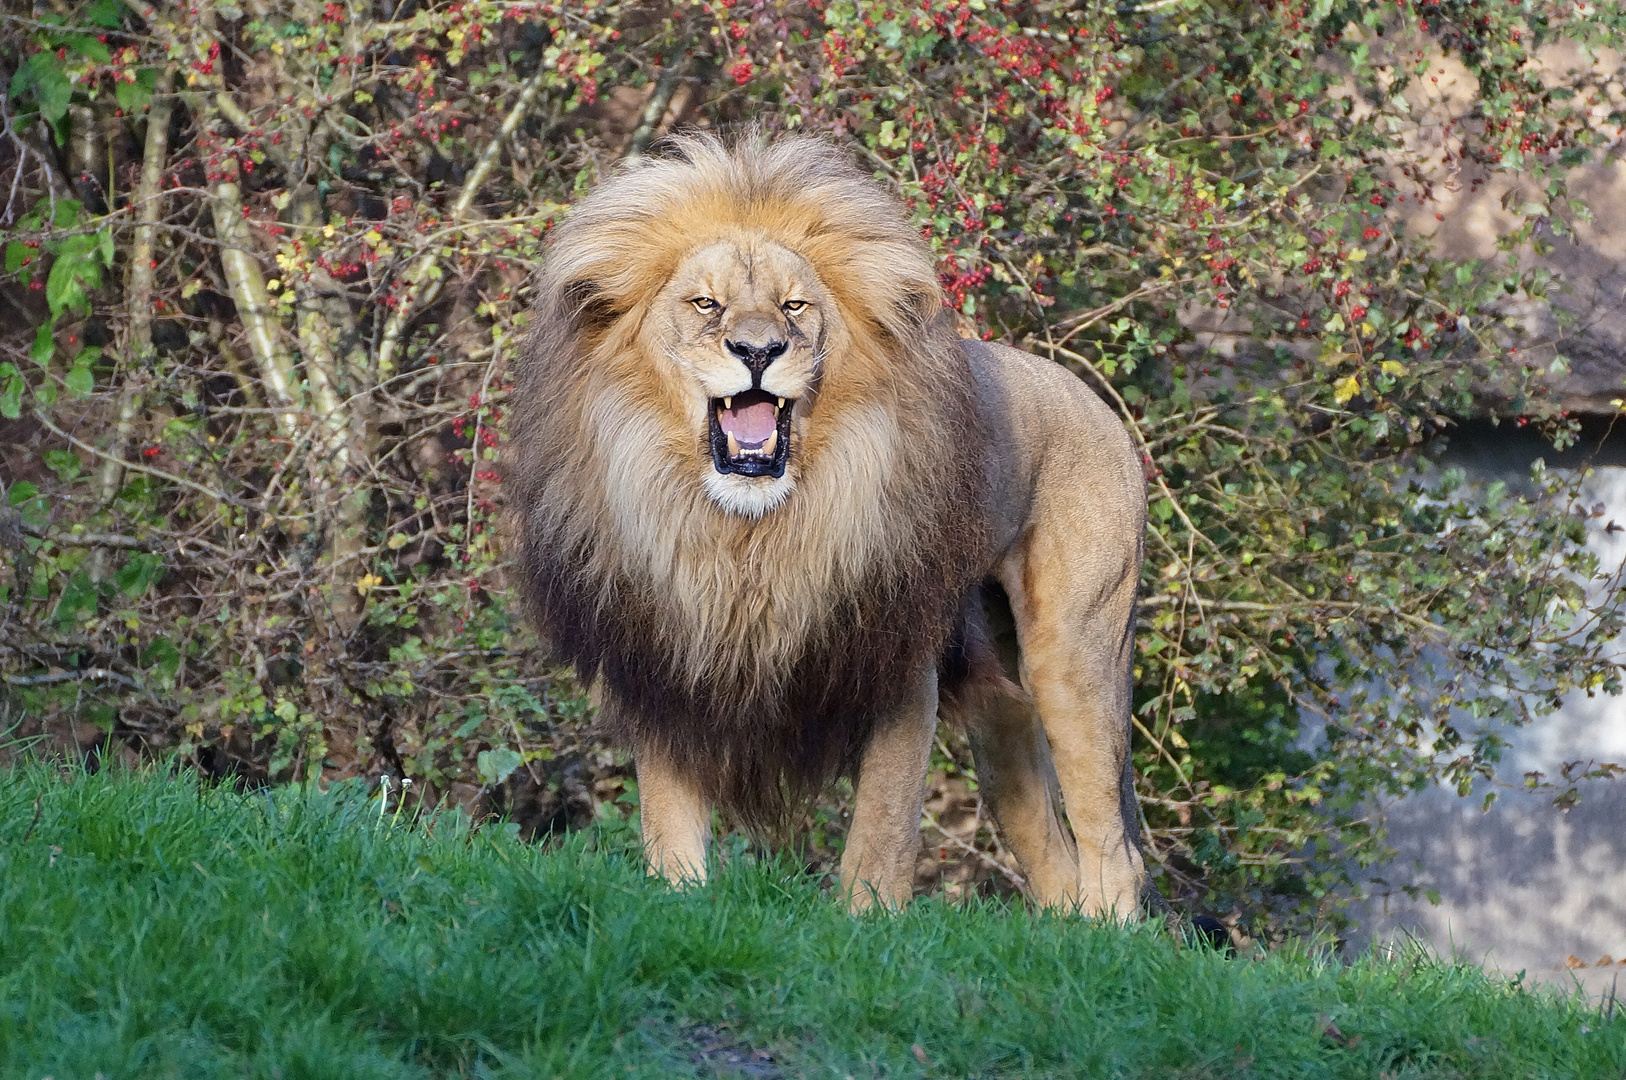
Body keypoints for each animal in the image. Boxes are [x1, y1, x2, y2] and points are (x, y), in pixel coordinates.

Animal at [507, 130, 1144, 917]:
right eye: (705, 303)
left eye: (796, 305)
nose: (757, 351)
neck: (749, 534)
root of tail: (1097, 403)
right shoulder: (672, 654)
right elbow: (670, 821)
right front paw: (676, 904)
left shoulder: (894, 657)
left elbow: (881, 826)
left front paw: (867, 924)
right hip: (1001, 699)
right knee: (1051, 844)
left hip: (1074, 656)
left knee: (1112, 848)